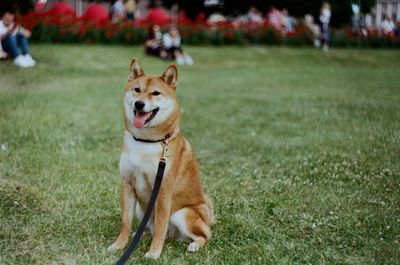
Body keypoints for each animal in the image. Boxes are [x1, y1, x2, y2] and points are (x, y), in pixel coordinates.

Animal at [106, 57, 212, 258]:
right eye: (137, 89)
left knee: (205, 235)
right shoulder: (127, 185)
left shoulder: (163, 190)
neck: (145, 142)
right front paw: (120, 245)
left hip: (182, 213)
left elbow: (161, 226)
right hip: (141, 209)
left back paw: (195, 245)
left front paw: (154, 253)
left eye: (155, 93)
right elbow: (125, 223)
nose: (139, 104)